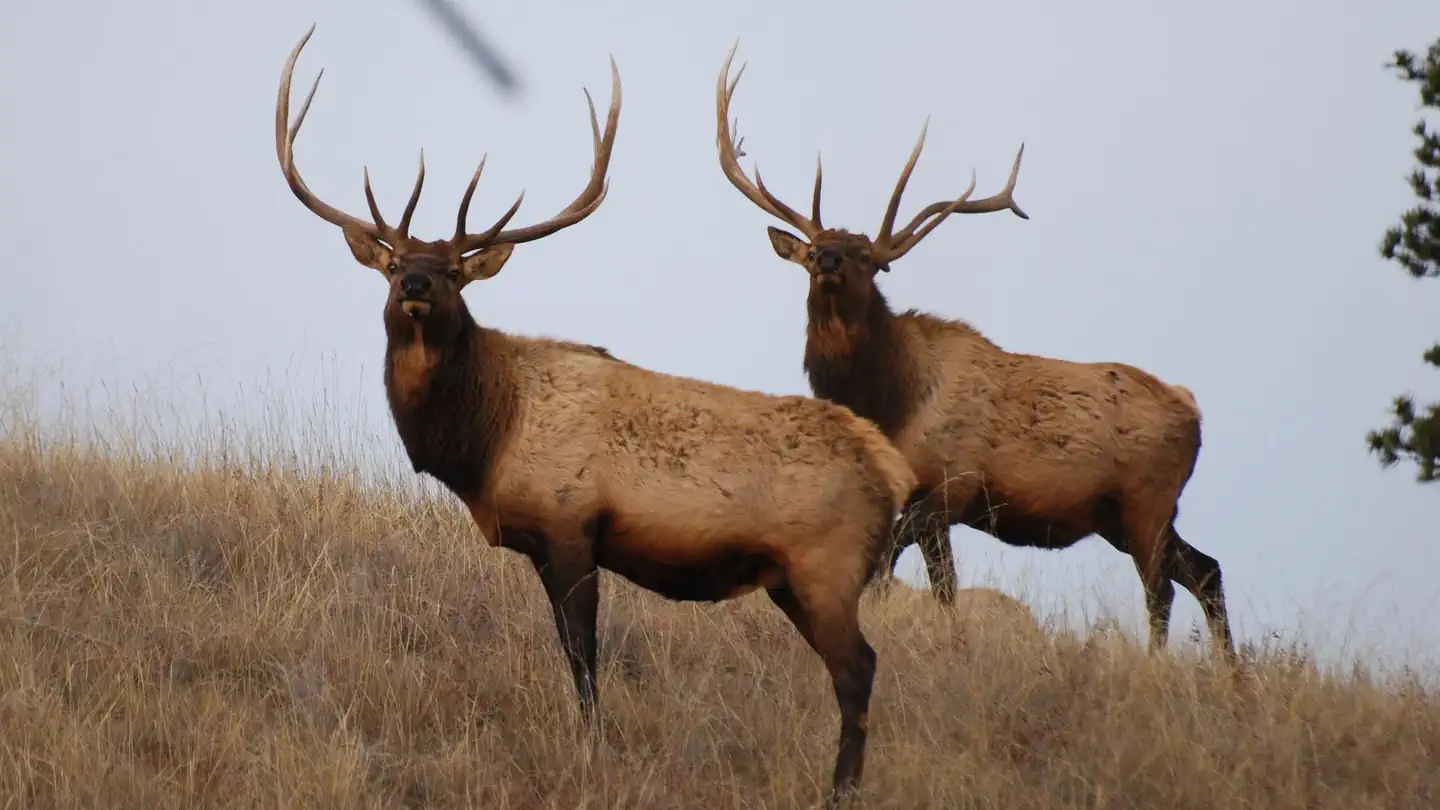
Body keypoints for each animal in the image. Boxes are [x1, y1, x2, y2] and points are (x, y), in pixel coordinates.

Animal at [273, 27, 920, 805]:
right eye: (395, 263)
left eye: (456, 272)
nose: (420, 283)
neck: (485, 442)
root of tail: (891, 467)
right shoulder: (540, 542)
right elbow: (567, 646)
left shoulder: (572, 522)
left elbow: (583, 651)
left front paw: (591, 745)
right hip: (794, 579)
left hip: (827, 562)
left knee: (859, 669)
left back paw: (842, 788)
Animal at [712, 43, 1234, 659]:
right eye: (814, 247)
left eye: (867, 257)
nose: (829, 259)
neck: (890, 402)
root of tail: (1192, 408)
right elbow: (932, 586)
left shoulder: (948, 488)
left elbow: (906, 576)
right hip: (1124, 515)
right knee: (1206, 570)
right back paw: (1231, 672)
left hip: (1147, 499)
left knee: (1163, 587)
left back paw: (1158, 662)